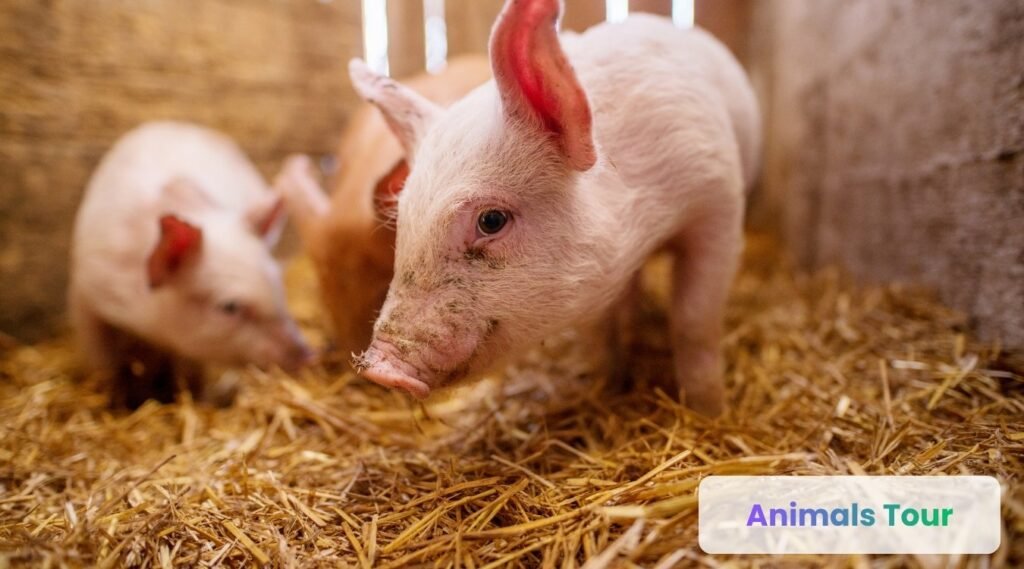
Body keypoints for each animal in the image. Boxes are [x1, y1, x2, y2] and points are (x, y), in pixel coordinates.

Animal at [69, 121, 312, 404]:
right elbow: (104, 361)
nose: (308, 355)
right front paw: (119, 401)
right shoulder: (88, 296)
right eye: (229, 307)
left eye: (278, 284)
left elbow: (189, 370)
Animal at [349, 0, 761, 416]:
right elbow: (601, 326)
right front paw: (606, 385)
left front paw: (709, 412)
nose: (379, 368)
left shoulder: (719, 202)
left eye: (491, 220)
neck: (649, 220)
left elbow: (694, 321)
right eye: (405, 220)